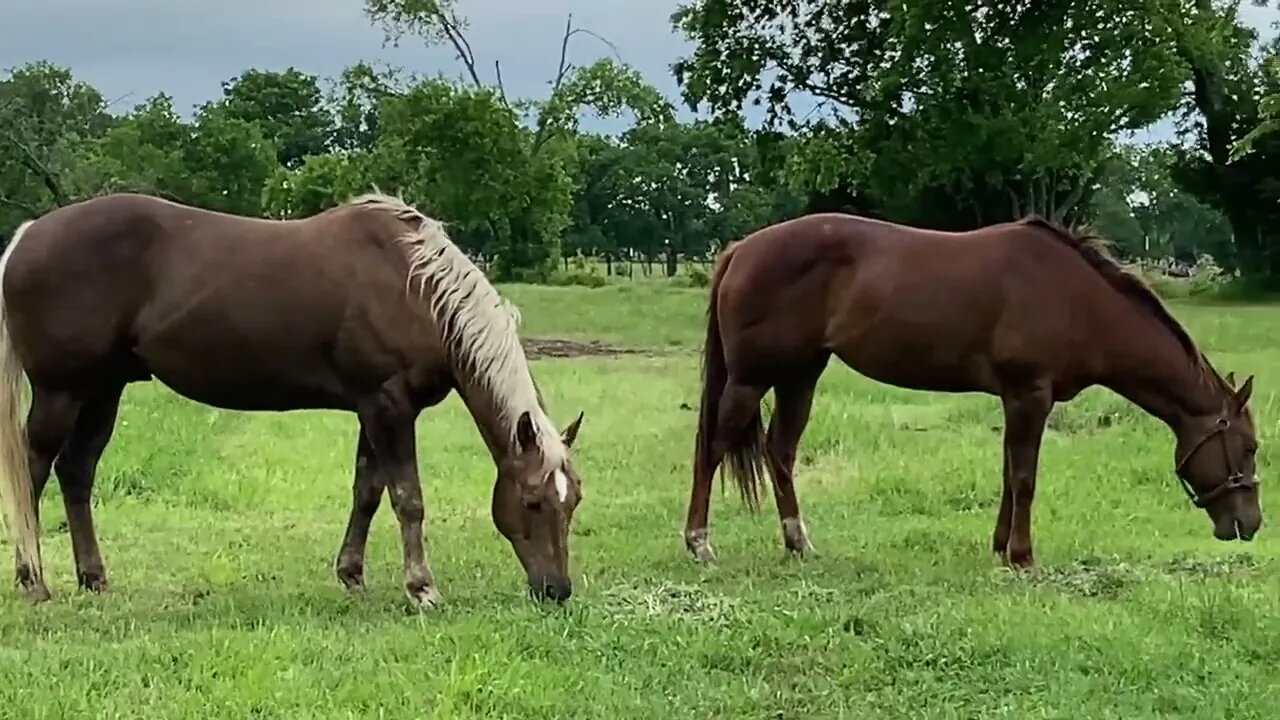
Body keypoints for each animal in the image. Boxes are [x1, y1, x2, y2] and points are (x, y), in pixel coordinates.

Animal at [0, 188, 586, 602]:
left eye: (572, 500)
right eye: (531, 501)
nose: (557, 591)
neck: (414, 288)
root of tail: (26, 236)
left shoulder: (373, 410)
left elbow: (367, 492)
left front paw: (352, 575)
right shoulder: (390, 408)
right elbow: (408, 499)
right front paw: (422, 588)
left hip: (102, 390)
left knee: (76, 472)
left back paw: (93, 578)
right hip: (60, 392)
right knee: (32, 472)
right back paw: (33, 581)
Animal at [691, 212, 1259, 566]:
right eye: (1251, 447)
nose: (1250, 524)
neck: (1078, 300)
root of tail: (741, 249)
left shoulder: (1016, 399)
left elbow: (1009, 474)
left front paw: (1001, 547)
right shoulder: (1030, 394)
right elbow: (1025, 477)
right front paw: (1023, 556)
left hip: (800, 376)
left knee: (780, 452)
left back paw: (799, 544)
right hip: (751, 378)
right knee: (712, 450)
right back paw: (699, 544)